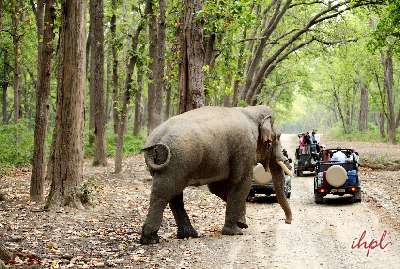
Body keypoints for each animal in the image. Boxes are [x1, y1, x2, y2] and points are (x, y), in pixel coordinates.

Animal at [139, 104, 292, 243]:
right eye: (277, 137)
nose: (287, 221)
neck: (251, 110)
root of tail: (154, 140)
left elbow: (217, 188)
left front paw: (242, 223)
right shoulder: (245, 146)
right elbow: (241, 182)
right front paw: (235, 231)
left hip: (172, 165)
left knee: (174, 195)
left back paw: (188, 235)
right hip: (177, 162)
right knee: (164, 193)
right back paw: (150, 239)